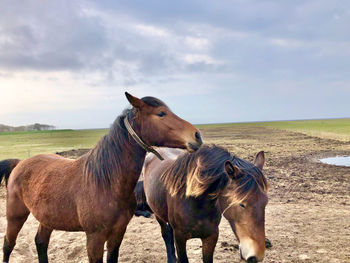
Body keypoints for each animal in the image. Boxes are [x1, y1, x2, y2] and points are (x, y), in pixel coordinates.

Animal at [0, 92, 202, 262]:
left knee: (41, 242)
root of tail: (19, 163)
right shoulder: (94, 238)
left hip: (47, 218)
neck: (106, 183)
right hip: (15, 215)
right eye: (161, 113)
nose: (197, 136)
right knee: (8, 244)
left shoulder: (117, 233)